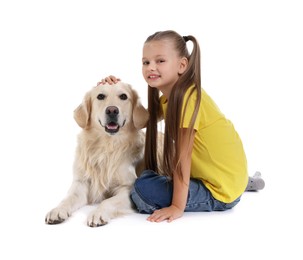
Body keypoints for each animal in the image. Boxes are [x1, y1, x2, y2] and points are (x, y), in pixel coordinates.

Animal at [44, 82, 148, 226]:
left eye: (123, 96)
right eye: (100, 96)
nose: (112, 110)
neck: (106, 146)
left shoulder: (128, 188)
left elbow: (108, 201)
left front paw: (98, 213)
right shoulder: (81, 183)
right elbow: (68, 198)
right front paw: (58, 210)